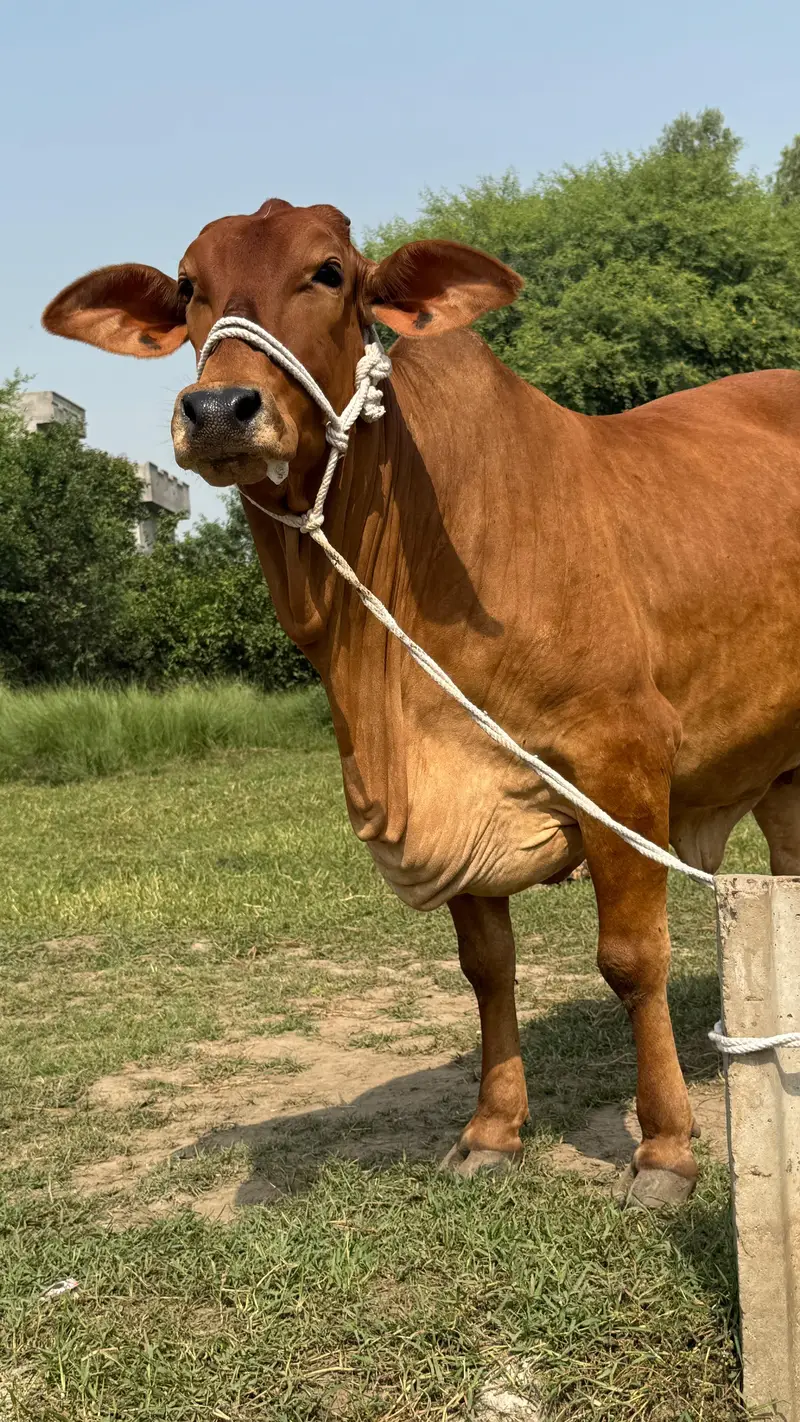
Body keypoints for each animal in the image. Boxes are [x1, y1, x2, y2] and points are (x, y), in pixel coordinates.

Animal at [43, 198, 800, 1208]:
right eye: (189, 286)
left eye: (330, 272)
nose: (218, 410)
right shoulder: (456, 792)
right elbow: (486, 968)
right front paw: (491, 1130)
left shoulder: (621, 763)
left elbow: (632, 961)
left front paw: (666, 1151)